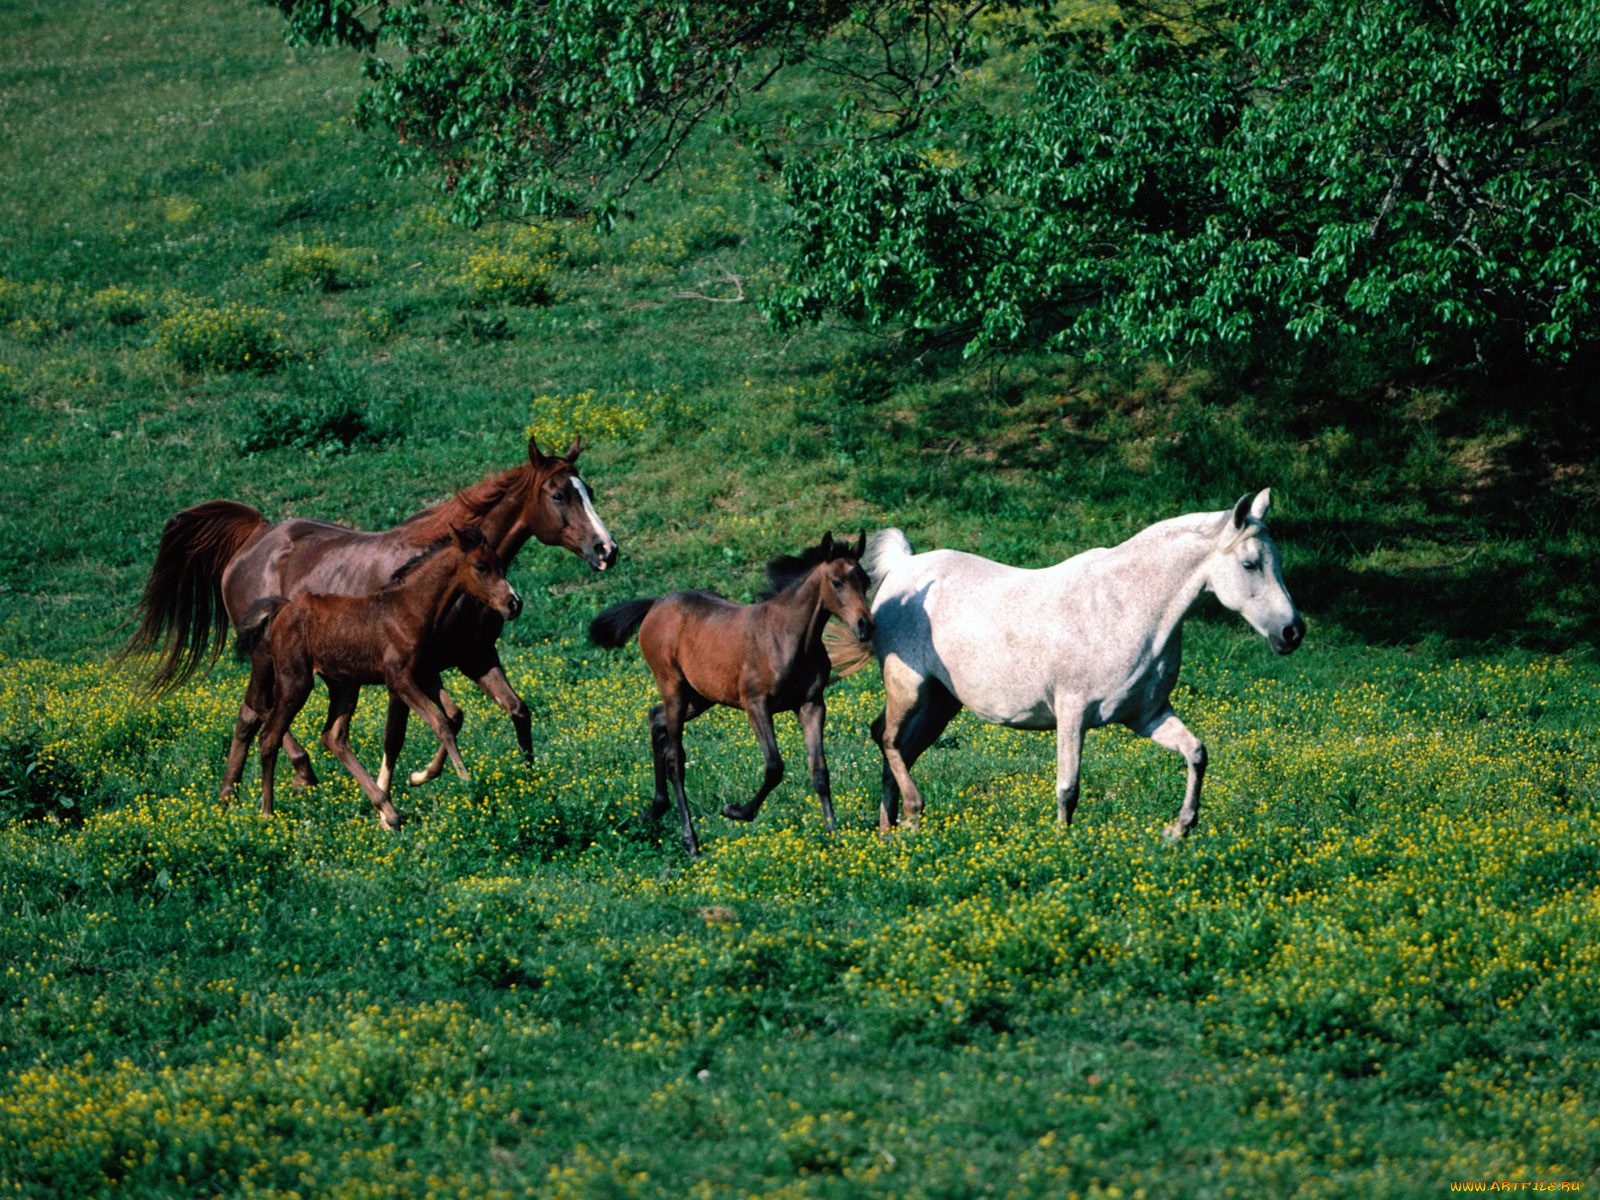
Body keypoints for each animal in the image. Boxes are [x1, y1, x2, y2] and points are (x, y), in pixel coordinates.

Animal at [125, 435, 617, 793]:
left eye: (588, 491)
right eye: (558, 494)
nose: (606, 549)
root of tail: (256, 536)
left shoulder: (473, 657)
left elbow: (509, 711)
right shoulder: (410, 671)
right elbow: (401, 732)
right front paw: (395, 786)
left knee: (253, 714)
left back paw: (243, 789)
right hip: (272, 659)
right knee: (260, 713)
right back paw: (295, 775)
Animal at [220, 525, 523, 829]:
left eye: (500, 564)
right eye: (481, 566)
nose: (514, 604)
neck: (409, 609)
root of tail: (281, 610)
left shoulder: (424, 674)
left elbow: (450, 718)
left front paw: (419, 777)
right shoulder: (399, 678)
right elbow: (440, 724)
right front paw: (466, 781)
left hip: (344, 685)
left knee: (333, 737)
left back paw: (387, 809)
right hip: (295, 680)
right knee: (269, 737)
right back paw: (267, 813)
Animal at [588, 532, 874, 855]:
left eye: (865, 581)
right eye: (837, 582)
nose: (865, 625)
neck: (787, 636)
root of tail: (656, 605)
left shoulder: (812, 704)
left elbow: (820, 772)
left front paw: (834, 835)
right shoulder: (756, 705)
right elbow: (774, 766)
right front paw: (736, 811)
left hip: (700, 696)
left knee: (655, 718)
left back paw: (655, 809)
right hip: (673, 688)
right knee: (675, 758)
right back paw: (690, 840)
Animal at [828, 491, 1305, 840]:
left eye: (1279, 561)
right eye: (1250, 564)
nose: (1292, 632)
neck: (1126, 606)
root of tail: (905, 567)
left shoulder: (1146, 715)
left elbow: (1197, 753)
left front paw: (1180, 829)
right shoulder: (1072, 712)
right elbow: (1068, 787)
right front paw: (1063, 845)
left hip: (941, 703)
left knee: (898, 747)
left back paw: (893, 831)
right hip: (909, 687)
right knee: (887, 738)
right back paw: (911, 814)